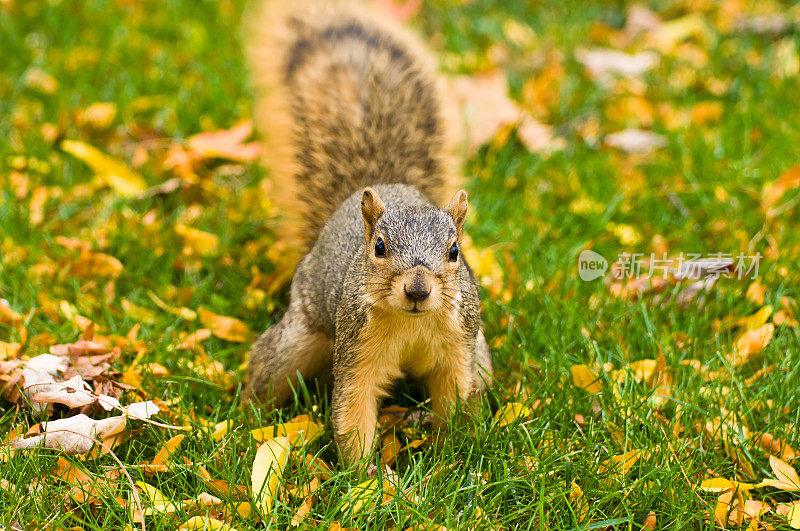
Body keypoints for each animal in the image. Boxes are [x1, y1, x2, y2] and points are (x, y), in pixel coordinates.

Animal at [244, 0, 490, 466]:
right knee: (267, 371)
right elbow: (353, 408)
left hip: (480, 349)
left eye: (454, 252)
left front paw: (448, 454)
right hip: (300, 334)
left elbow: (454, 395)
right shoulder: (358, 348)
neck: (412, 325)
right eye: (378, 247)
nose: (417, 290)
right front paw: (367, 474)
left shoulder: (457, 347)